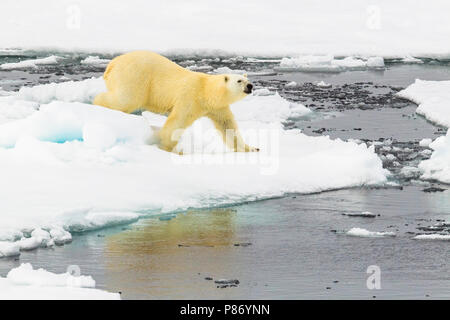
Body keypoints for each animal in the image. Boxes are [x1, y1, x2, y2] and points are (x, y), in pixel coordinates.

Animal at [93, 51, 258, 152]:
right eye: (239, 81)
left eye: (248, 79)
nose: (250, 86)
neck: (206, 91)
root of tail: (112, 64)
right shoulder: (190, 97)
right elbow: (177, 122)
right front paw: (169, 148)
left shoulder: (217, 108)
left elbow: (227, 126)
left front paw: (251, 148)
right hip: (135, 75)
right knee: (126, 99)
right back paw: (97, 101)